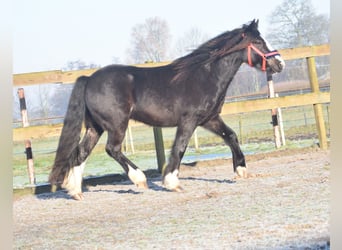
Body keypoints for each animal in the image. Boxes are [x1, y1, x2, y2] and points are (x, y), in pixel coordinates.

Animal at [48, 19, 284, 200]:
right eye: (258, 41)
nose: (279, 64)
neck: (204, 75)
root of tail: (89, 79)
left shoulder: (209, 119)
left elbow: (231, 136)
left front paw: (241, 170)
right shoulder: (189, 121)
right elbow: (179, 148)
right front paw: (172, 182)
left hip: (95, 127)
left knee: (81, 153)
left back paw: (75, 191)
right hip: (116, 124)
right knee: (112, 149)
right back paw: (139, 180)